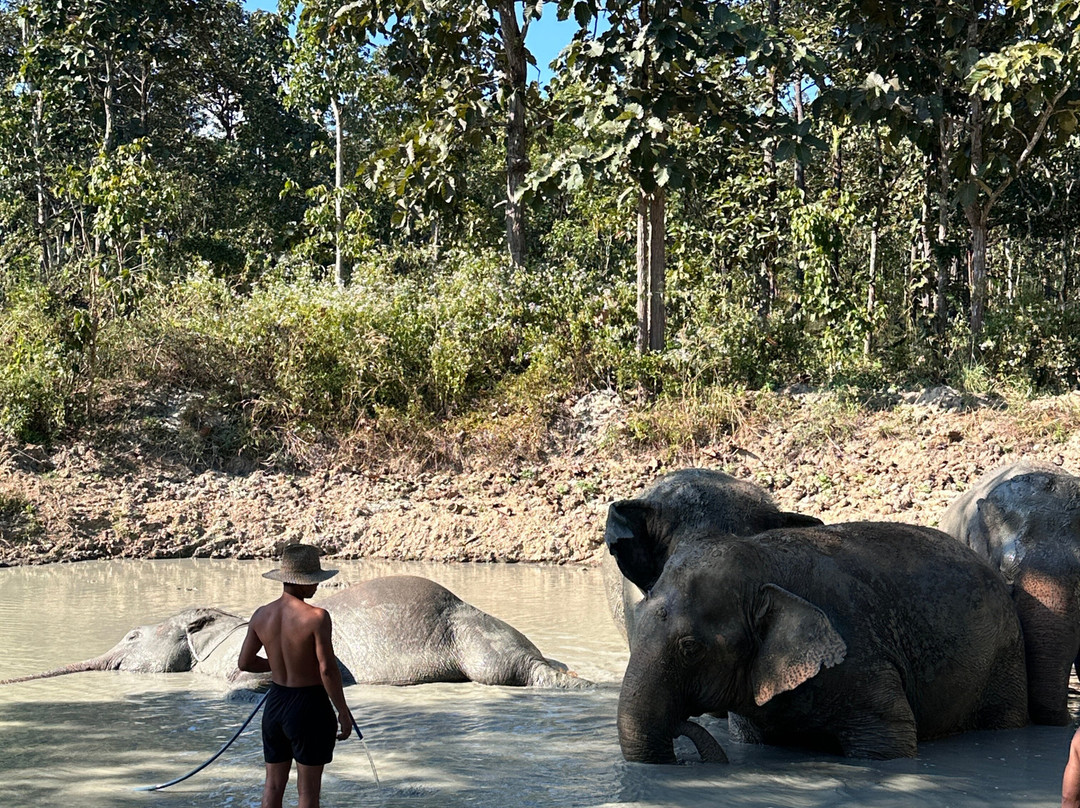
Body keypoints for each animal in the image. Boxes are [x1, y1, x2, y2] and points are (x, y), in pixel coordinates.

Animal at [607, 520, 1029, 764]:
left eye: (690, 647)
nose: (683, 758)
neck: (762, 559)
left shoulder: (862, 658)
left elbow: (889, 739)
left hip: (1003, 662)